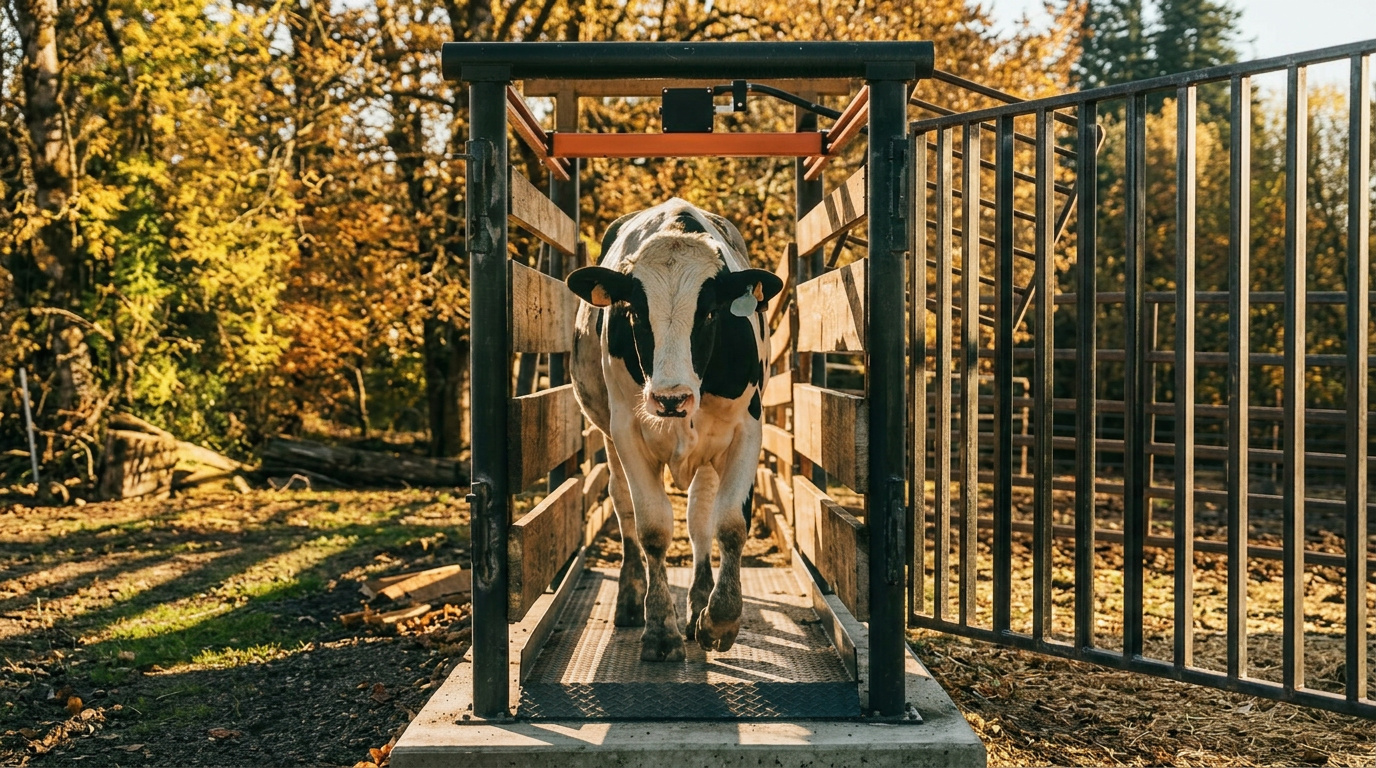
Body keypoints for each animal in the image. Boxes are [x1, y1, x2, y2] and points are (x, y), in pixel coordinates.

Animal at [564, 198, 783, 662]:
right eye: (634, 312)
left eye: (710, 312)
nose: (671, 398)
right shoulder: (627, 432)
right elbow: (652, 528)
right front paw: (661, 630)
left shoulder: (746, 430)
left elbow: (729, 524)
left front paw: (720, 619)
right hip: (609, 438)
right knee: (624, 508)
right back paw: (632, 601)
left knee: (699, 518)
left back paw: (699, 602)